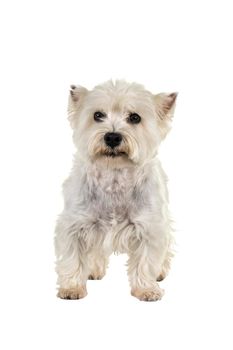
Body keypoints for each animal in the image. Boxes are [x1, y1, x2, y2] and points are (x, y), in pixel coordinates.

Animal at [55, 79, 177, 300]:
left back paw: (161, 271)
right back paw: (93, 270)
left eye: (135, 117)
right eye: (97, 115)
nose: (112, 137)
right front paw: (72, 288)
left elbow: (145, 261)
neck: (114, 175)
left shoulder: (150, 226)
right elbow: (72, 258)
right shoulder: (74, 224)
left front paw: (146, 289)